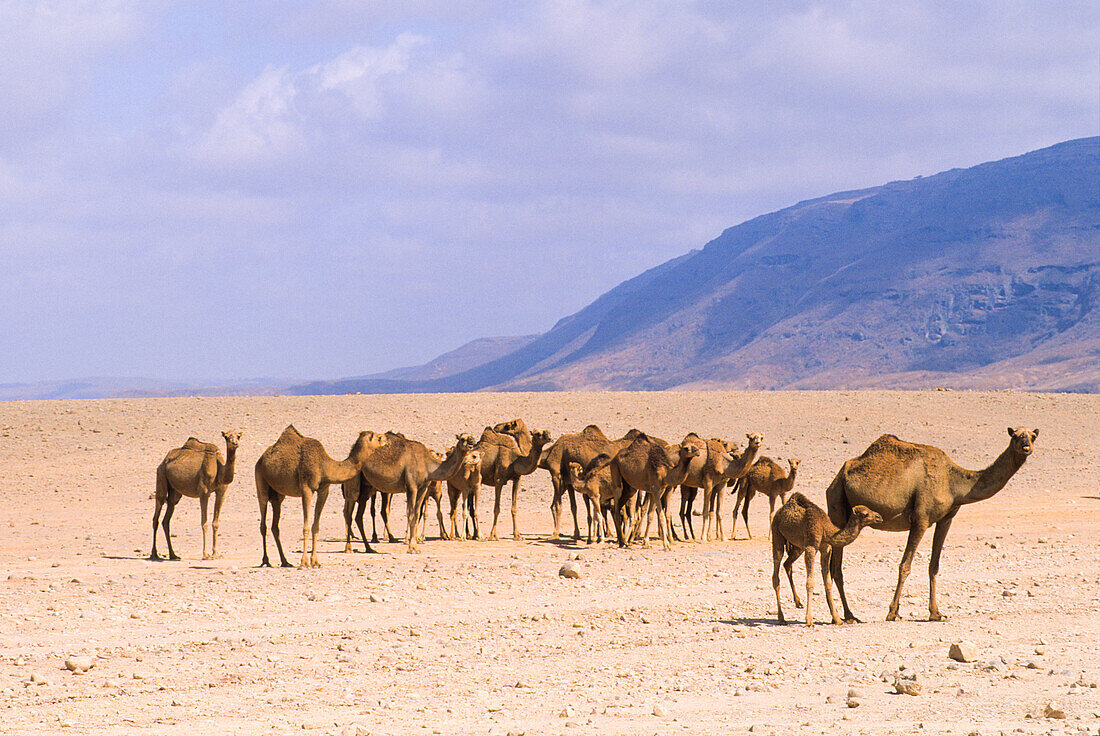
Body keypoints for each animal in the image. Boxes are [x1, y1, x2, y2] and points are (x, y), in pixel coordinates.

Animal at [151, 426, 239, 558]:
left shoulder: (221, 492)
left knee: (166, 519)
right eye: (226, 437)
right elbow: (204, 523)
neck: (219, 467)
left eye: (238, 436)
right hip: (161, 475)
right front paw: (205, 554)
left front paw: (216, 553)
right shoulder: (204, 492)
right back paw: (154, 554)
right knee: (157, 514)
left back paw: (173, 555)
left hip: (175, 492)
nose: (235, 443)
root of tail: (164, 460)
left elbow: (215, 523)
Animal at [251, 424, 387, 567]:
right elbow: (305, 527)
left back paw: (285, 561)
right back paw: (266, 561)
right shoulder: (306, 488)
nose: (386, 439)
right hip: (260, 480)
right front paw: (304, 562)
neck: (324, 465)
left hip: (278, 495)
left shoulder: (324, 490)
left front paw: (315, 561)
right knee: (263, 522)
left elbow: (315, 526)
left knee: (275, 525)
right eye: (378, 437)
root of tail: (262, 458)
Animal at [774, 490, 884, 624]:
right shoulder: (811, 547)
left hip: (798, 546)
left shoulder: (825, 548)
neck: (826, 529)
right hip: (776, 532)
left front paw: (837, 619)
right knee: (776, 574)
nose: (879, 517)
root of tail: (781, 509)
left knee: (787, 564)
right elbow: (810, 582)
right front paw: (809, 620)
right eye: (865, 513)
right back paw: (781, 618)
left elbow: (827, 582)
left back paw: (798, 602)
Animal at [827, 426, 1038, 624]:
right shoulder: (921, 519)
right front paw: (892, 612)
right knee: (836, 569)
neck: (953, 482)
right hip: (838, 506)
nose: (1026, 447)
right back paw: (849, 615)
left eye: (1033, 436)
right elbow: (905, 565)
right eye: (1015, 435)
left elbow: (934, 566)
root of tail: (837, 478)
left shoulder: (946, 519)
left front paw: (936, 613)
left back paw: (846, 615)